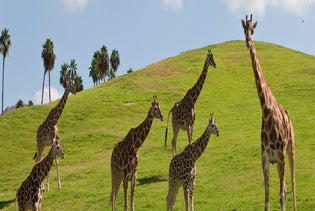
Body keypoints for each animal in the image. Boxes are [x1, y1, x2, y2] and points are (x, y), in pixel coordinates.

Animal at [243, 14, 298, 211]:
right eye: (243, 29)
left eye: (253, 29)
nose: (248, 41)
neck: (266, 109)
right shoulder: (265, 158)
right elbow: (267, 199)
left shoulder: (280, 155)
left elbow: (281, 195)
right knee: (286, 187)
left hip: (291, 149)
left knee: (292, 183)